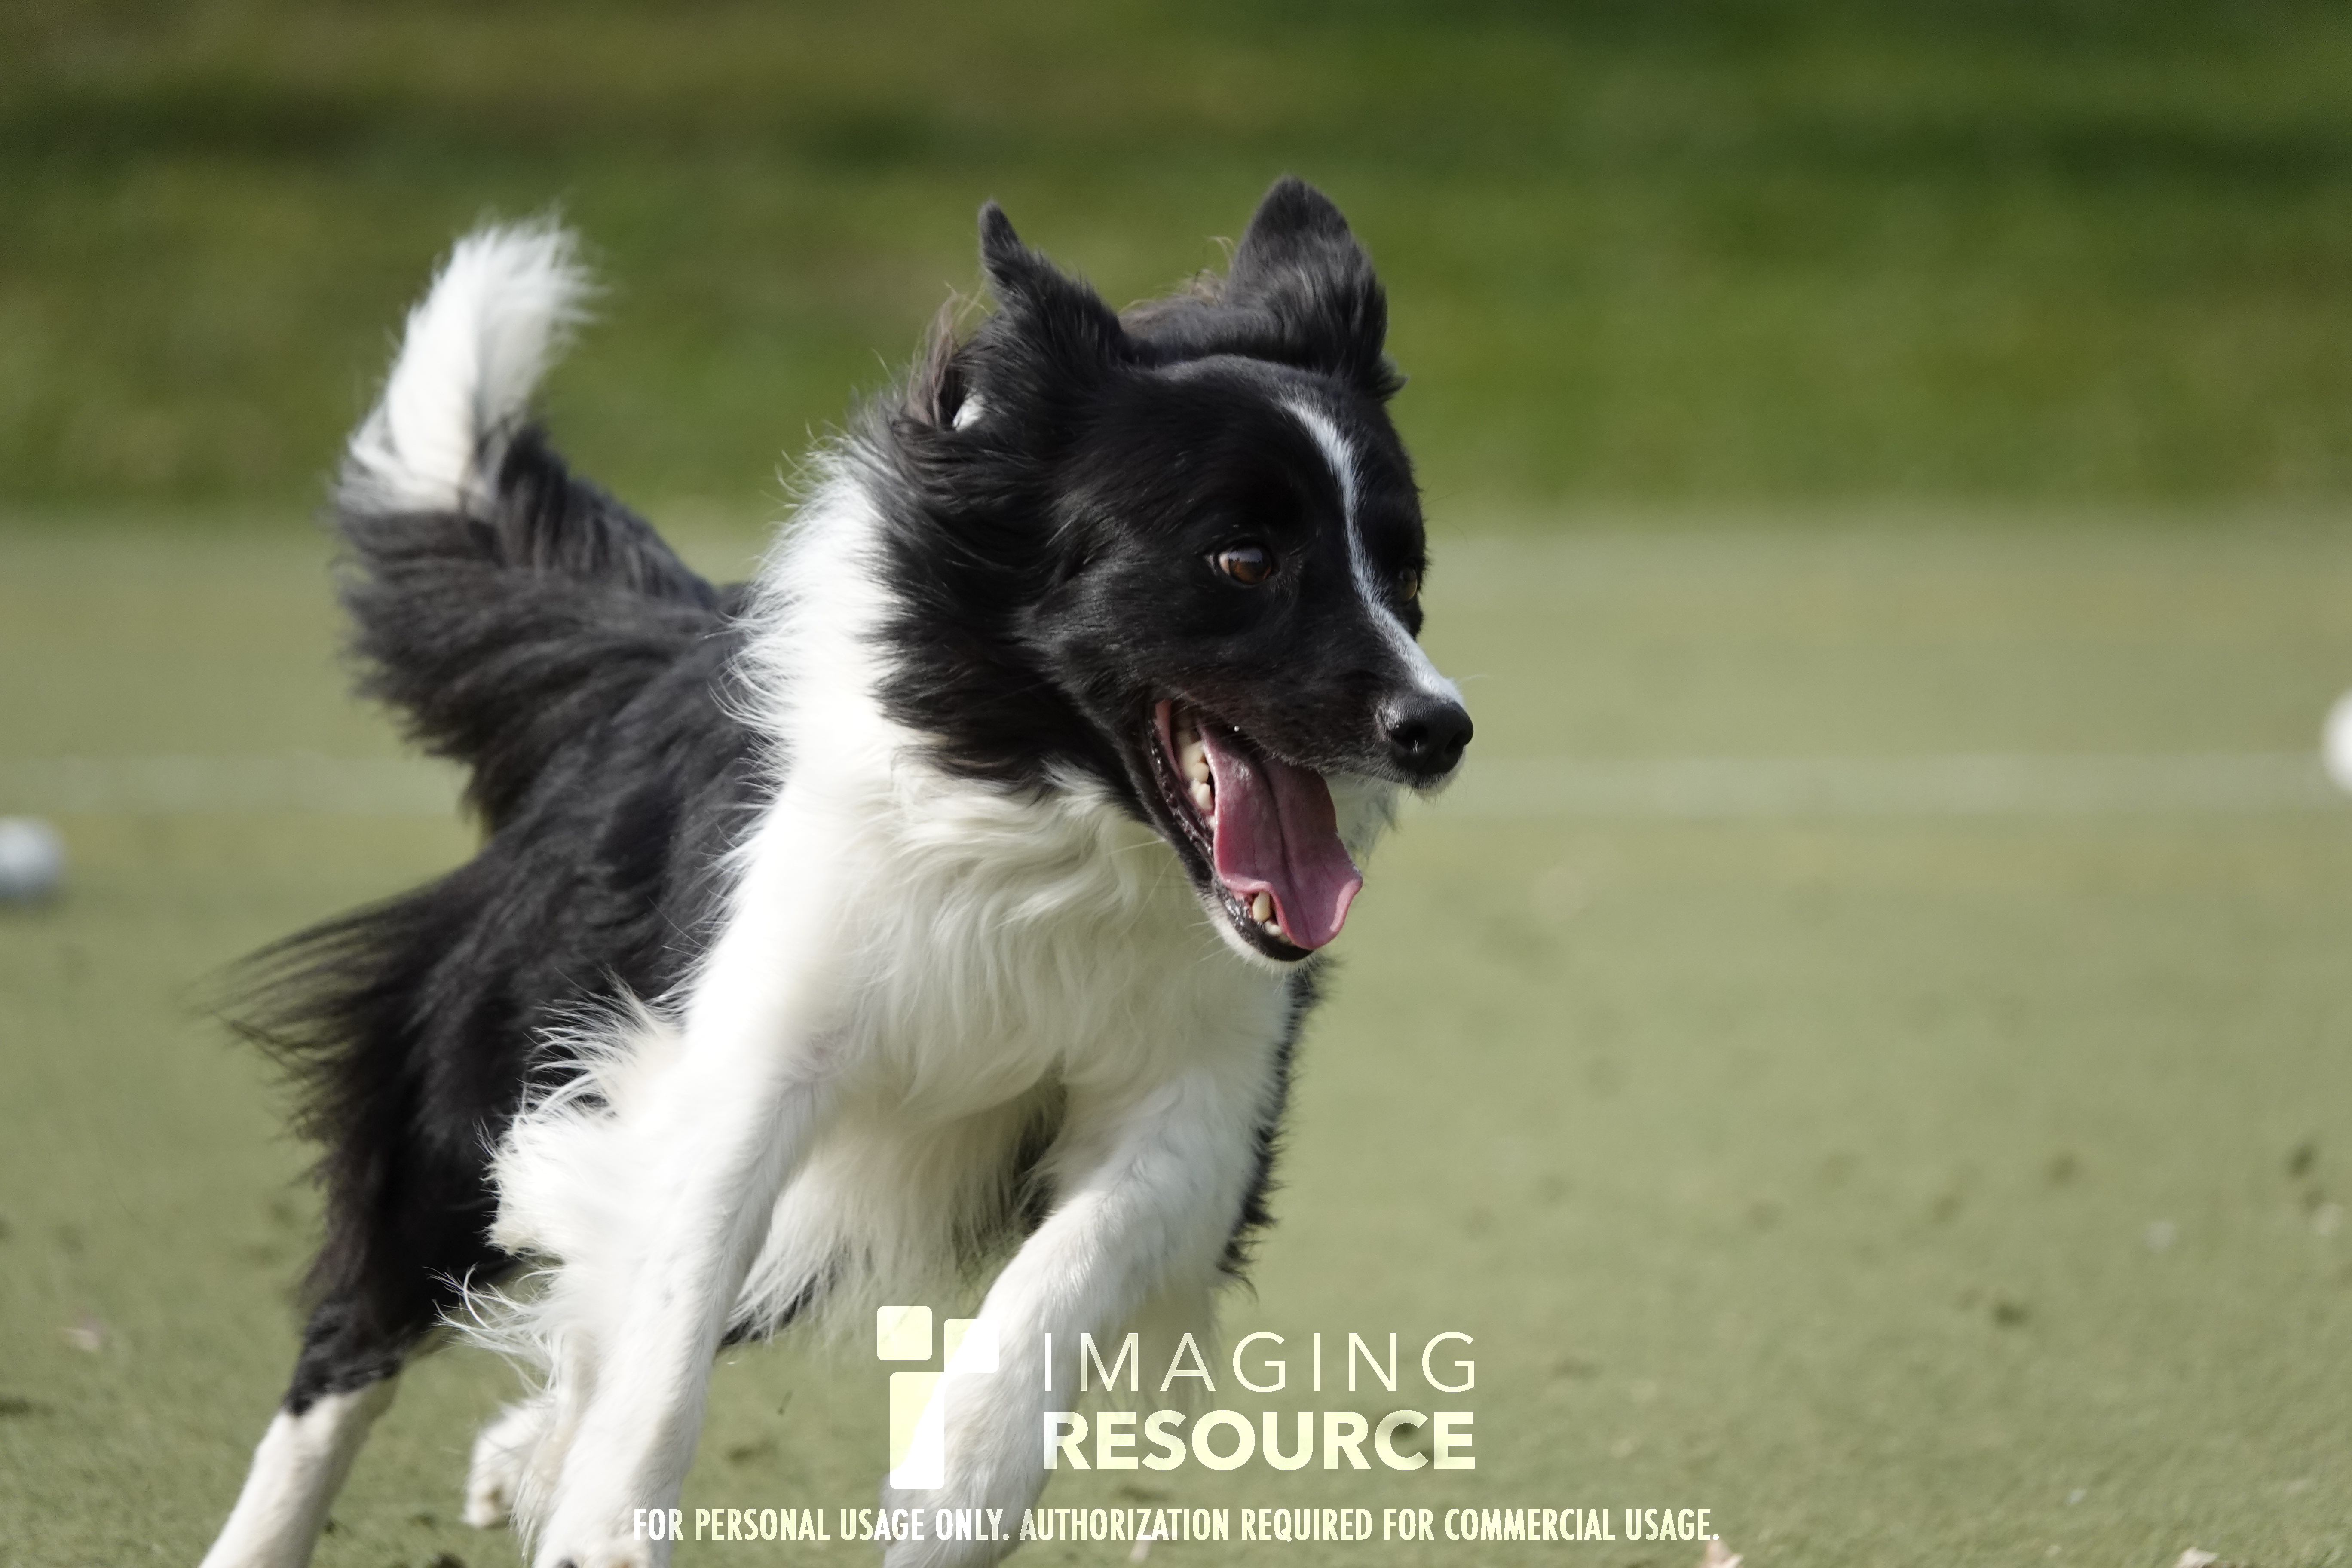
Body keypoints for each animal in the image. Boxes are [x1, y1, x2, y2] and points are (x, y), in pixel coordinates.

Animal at [198, 177, 1471, 1568]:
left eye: (1407, 574)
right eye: (1242, 560)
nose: (1439, 728)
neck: (1046, 824)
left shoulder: (1195, 1103)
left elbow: (1056, 1284)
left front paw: (950, 1497)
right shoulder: (752, 1047)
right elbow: (675, 1294)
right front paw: (606, 1528)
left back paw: (520, 1455)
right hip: (481, 1084)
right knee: (358, 1341)